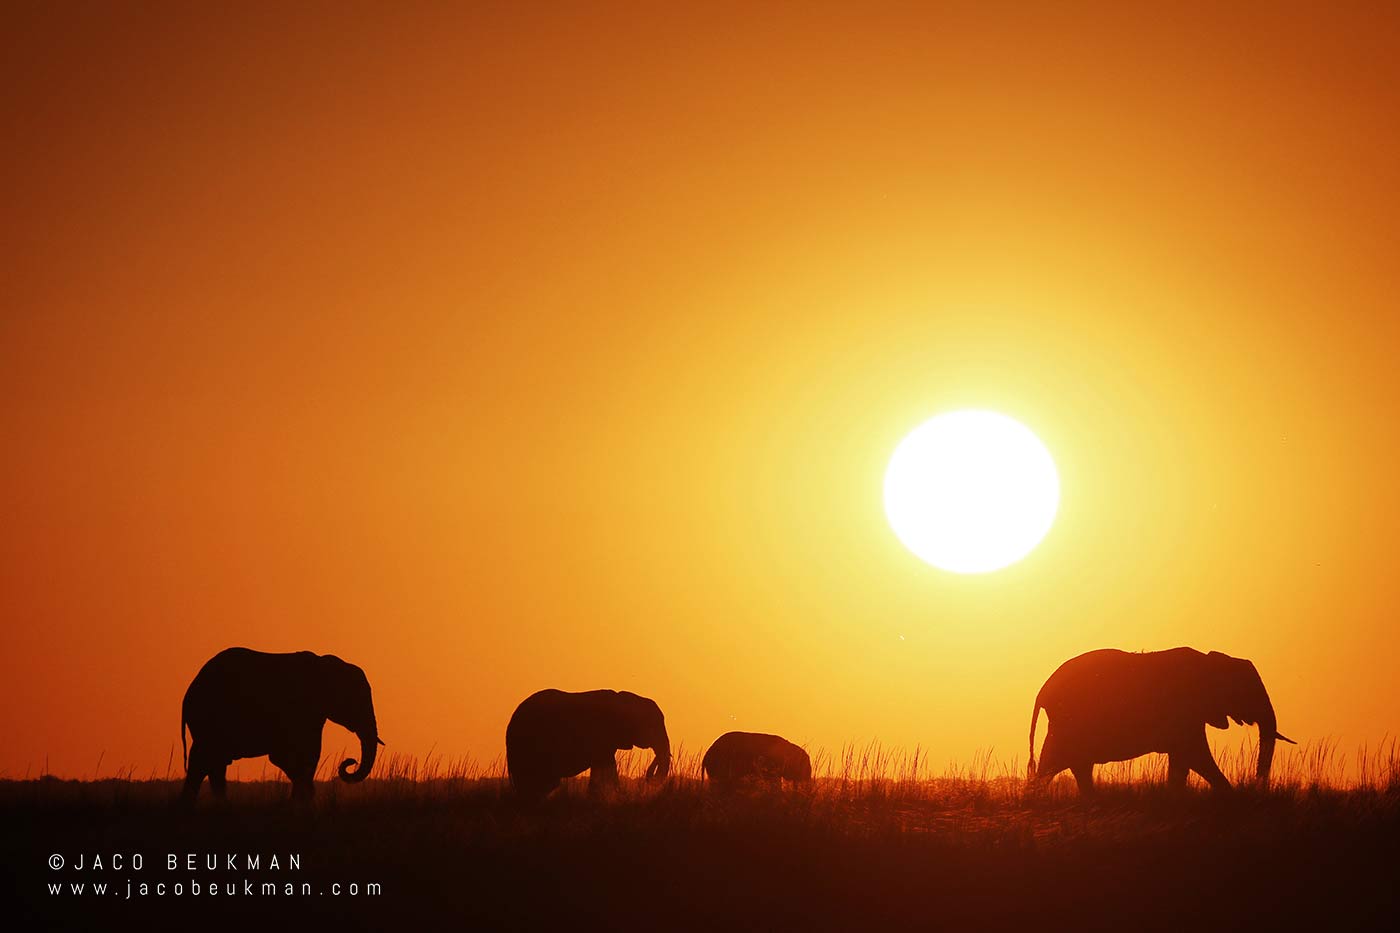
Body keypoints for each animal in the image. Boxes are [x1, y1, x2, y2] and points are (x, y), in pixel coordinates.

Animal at [179, 647, 383, 803]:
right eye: (356, 700)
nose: (351, 761)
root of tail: (189, 692)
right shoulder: (300, 710)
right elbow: (287, 756)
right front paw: (303, 800)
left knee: (211, 763)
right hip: (209, 719)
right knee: (206, 760)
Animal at [1027, 647, 1295, 794]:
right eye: (1247, 691)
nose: (1257, 784)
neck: (1213, 660)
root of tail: (1041, 692)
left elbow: (1183, 761)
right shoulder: (1184, 711)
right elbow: (1196, 756)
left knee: (1071, 766)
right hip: (1069, 724)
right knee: (1056, 764)